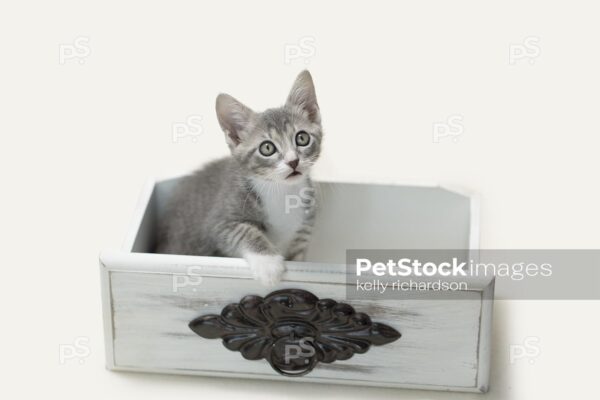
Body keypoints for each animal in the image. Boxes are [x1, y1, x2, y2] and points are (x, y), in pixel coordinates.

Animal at [157, 71, 322, 284]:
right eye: (267, 148)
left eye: (302, 138)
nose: (293, 161)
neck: (281, 191)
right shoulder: (218, 222)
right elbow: (244, 231)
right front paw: (268, 264)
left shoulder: (303, 232)